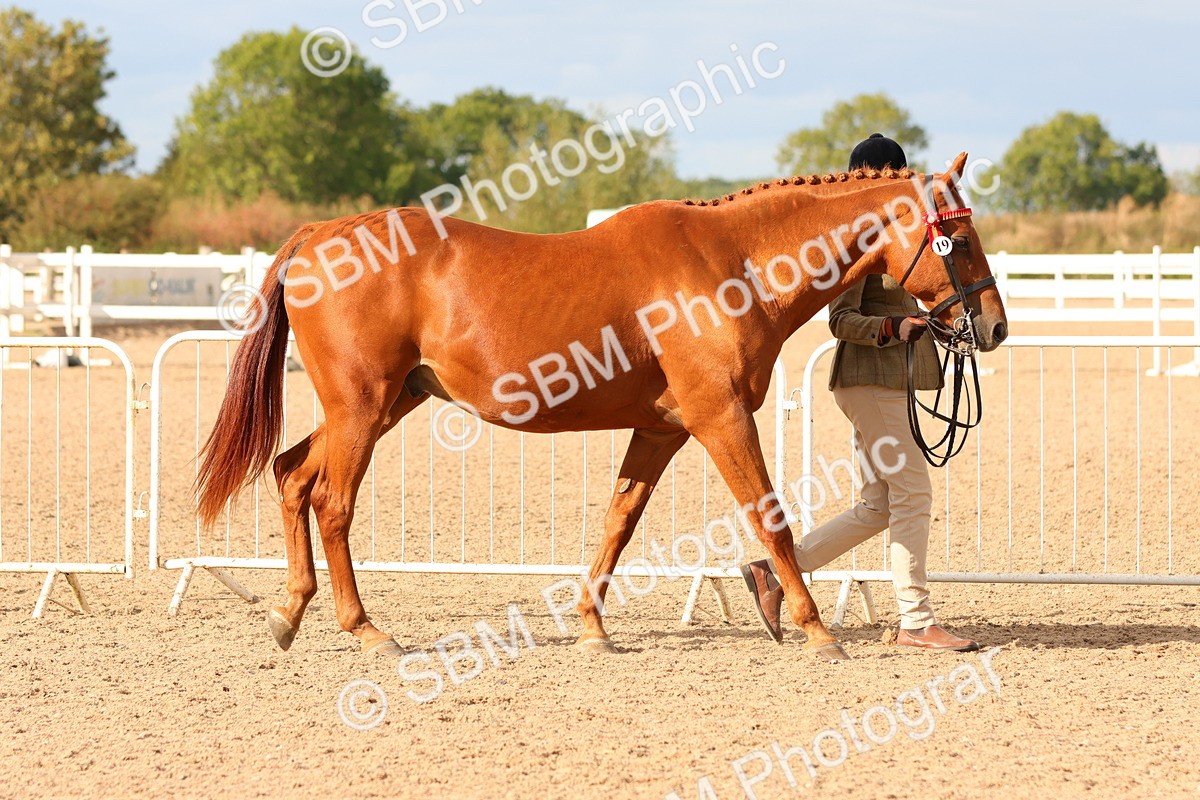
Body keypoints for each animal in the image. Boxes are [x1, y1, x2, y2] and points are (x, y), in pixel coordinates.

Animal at [194, 152, 1008, 661]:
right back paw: (366, 630)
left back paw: (288, 612)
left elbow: (619, 522)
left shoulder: (660, 430)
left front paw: (592, 626)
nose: (994, 327)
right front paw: (815, 631)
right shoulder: (721, 421)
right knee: (331, 502)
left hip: (385, 404)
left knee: (291, 473)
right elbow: (769, 518)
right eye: (960, 238)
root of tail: (319, 235)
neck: (732, 265)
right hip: (362, 409)